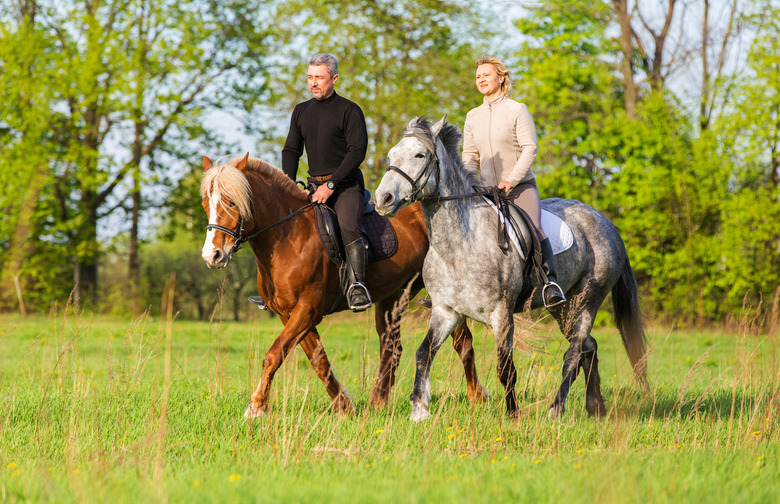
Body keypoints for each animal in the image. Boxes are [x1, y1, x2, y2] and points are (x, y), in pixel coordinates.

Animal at [200, 153, 488, 418]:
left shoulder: (307, 310)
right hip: (392, 297)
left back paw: (476, 397)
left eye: (231, 201)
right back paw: (378, 403)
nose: (212, 256)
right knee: (393, 348)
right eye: (205, 203)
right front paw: (344, 407)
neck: (287, 236)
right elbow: (319, 361)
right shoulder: (290, 315)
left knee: (462, 342)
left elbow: (274, 355)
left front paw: (256, 407)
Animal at [374, 117, 648, 422]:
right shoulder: (446, 312)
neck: (459, 246)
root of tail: (607, 223)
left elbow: (505, 367)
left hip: (587, 300)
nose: (383, 199)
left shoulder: (501, 313)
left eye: (420, 155)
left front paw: (513, 415)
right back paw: (595, 407)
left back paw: (556, 410)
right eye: (391, 155)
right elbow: (424, 353)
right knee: (589, 347)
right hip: (564, 308)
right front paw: (419, 411)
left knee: (574, 352)